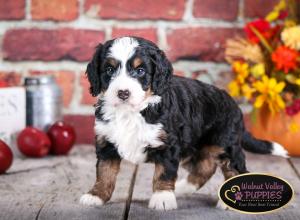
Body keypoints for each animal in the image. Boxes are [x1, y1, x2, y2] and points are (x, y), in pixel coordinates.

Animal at [79, 37, 288, 211]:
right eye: (109, 70)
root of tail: (233, 104)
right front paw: (96, 196)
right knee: (205, 167)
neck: (132, 112)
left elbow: (164, 172)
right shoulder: (106, 142)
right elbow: (104, 172)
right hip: (196, 147)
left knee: (235, 167)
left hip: (225, 142)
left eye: (140, 71)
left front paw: (162, 198)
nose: (123, 93)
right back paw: (182, 188)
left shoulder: (168, 144)